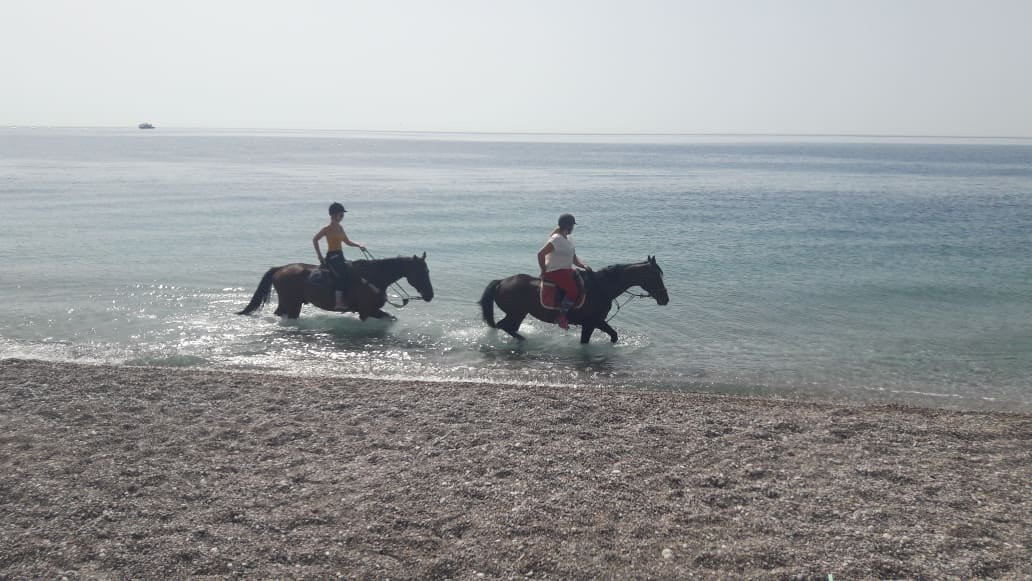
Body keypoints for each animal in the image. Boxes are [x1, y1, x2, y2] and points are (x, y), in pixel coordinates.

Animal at [237, 253, 434, 320]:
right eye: (421, 273)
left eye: (428, 271)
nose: (430, 295)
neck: (373, 276)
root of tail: (280, 269)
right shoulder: (368, 310)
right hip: (292, 304)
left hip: (287, 303)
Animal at [479, 256, 669, 343]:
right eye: (656, 275)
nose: (665, 299)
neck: (600, 287)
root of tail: (501, 282)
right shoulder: (592, 323)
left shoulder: (597, 322)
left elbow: (614, 335)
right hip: (516, 313)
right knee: (504, 326)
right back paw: (523, 340)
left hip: (518, 314)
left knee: (504, 326)